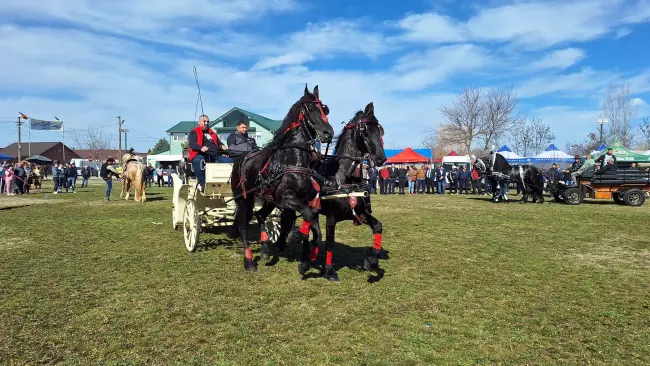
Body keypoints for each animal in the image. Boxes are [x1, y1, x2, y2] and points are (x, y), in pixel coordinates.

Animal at [229, 84, 332, 270]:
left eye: (325, 109)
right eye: (310, 108)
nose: (329, 133)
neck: (293, 159)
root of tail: (241, 159)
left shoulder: (306, 199)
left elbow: (315, 229)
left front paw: (306, 259)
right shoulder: (286, 198)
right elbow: (306, 216)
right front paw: (295, 236)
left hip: (269, 199)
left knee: (260, 215)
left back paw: (264, 248)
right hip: (244, 198)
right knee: (243, 226)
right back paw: (249, 260)